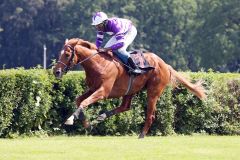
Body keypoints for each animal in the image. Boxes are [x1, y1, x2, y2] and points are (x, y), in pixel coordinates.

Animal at [53, 38, 206, 138]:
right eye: (59, 53)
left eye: (67, 54)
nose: (56, 71)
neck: (98, 64)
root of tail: (165, 65)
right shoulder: (92, 89)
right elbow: (79, 101)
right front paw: (86, 123)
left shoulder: (103, 91)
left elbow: (84, 102)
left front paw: (70, 120)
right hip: (130, 90)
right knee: (125, 106)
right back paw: (100, 117)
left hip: (153, 92)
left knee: (150, 115)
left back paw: (141, 135)